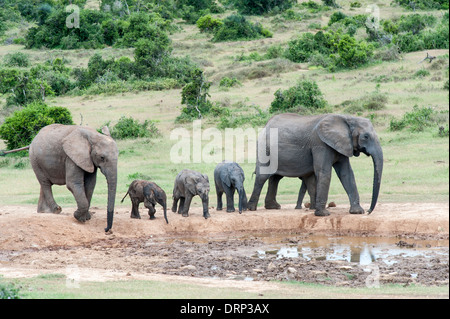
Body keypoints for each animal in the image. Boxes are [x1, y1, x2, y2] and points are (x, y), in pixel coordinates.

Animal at [246, 113, 384, 218]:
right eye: (366, 136)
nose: (368, 211)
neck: (347, 118)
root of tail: (266, 125)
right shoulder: (320, 144)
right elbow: (324, 172)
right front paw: (323, 214)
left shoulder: (342, 144)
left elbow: (347, 173)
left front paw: (357, 212)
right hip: (265, 148)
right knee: (262, 176)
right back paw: (251, 208)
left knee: (275, 178)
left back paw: (273, 207)